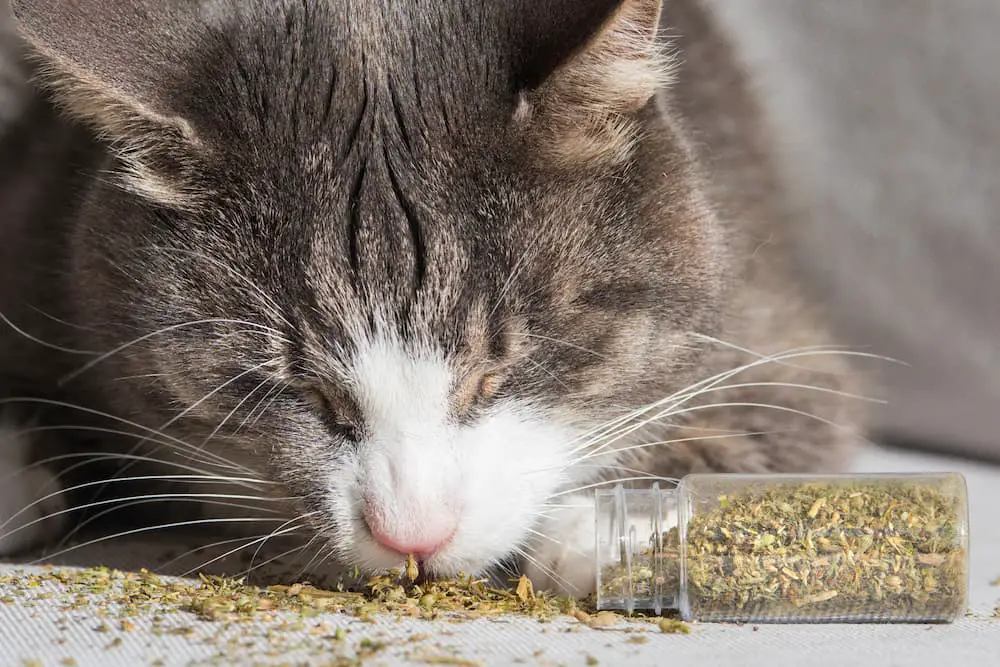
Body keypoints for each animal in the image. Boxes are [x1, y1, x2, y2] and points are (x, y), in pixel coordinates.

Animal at [0, 0, 860, 596]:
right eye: (304, 392)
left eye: (496, 376)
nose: (414, 532)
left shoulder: (771, 310)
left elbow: (781, 408)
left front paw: (603, 523)